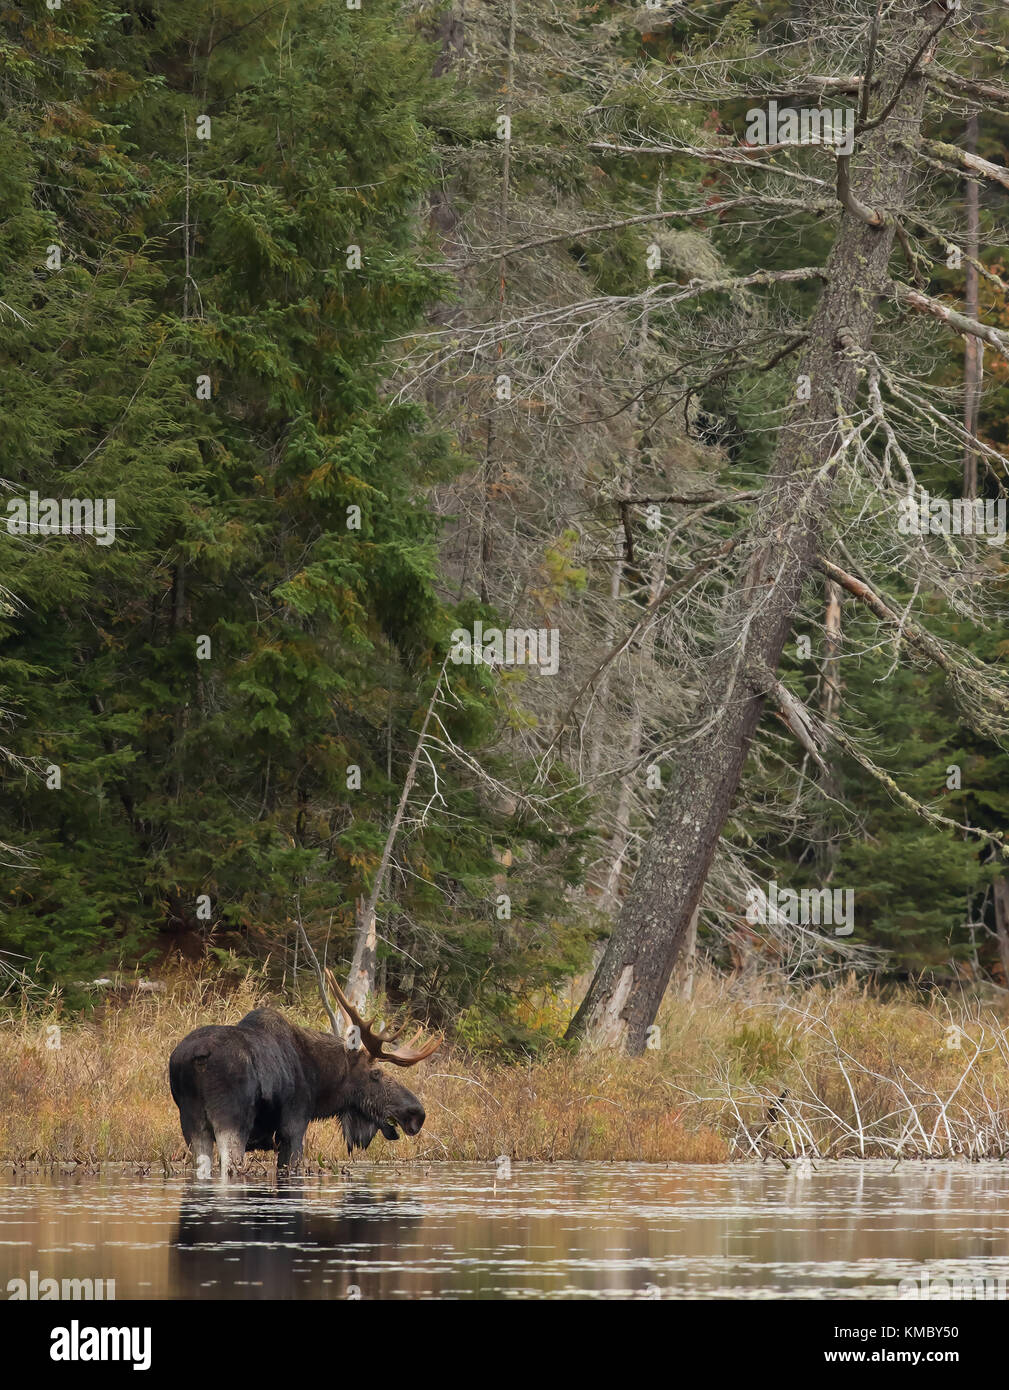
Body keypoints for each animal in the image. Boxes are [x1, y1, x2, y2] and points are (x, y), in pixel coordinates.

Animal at [170, 978, 441, 1173]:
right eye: (376, 1073)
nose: (417, 1114)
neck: (319, 1080)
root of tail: (198, 1057)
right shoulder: (294, 1128)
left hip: (191, 1124)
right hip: (231, 1121)